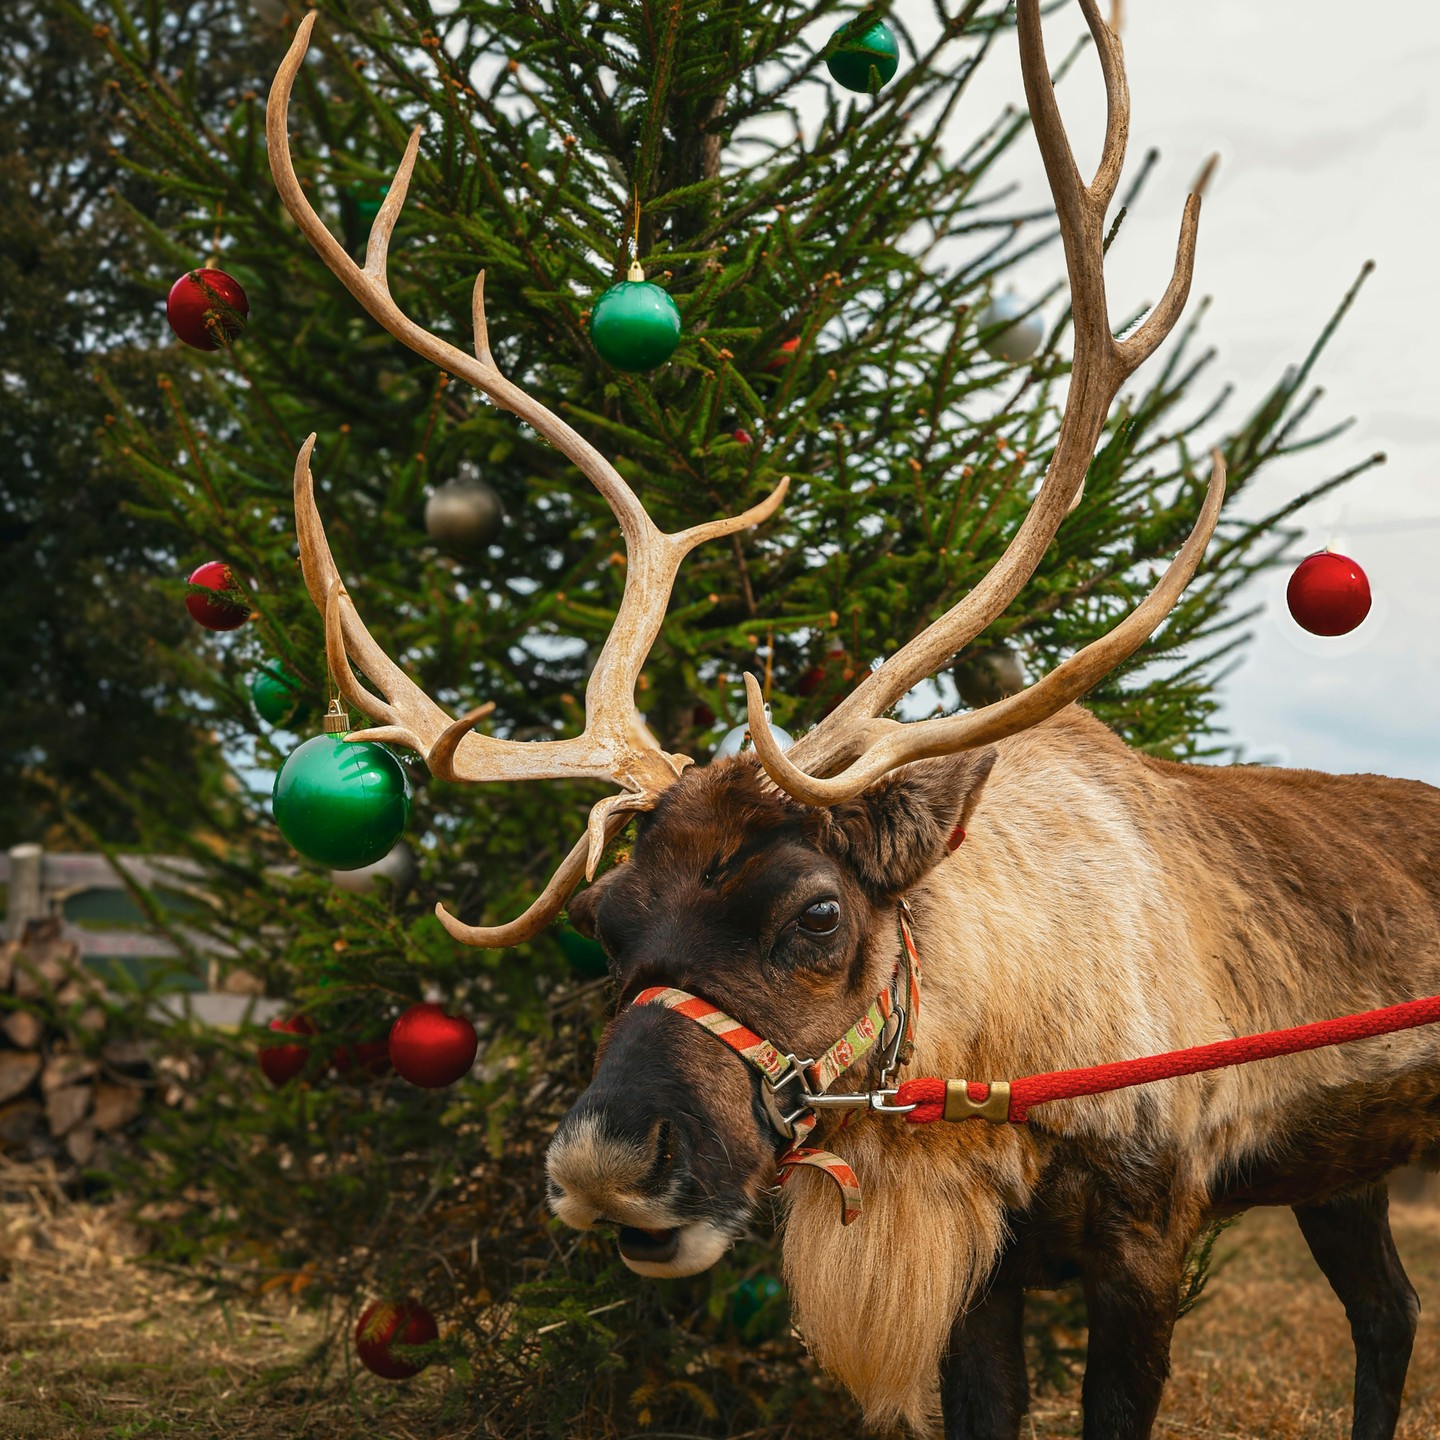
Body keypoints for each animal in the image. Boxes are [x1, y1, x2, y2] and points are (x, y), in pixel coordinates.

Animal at [268, 3, 1440, 1437]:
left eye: (817, 914)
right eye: (601, 921)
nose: (603, 1165)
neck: (986, 1064)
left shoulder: (1146, 1238)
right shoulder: (987, 1274)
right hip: (1348, 1168)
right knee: (1389, 1313)